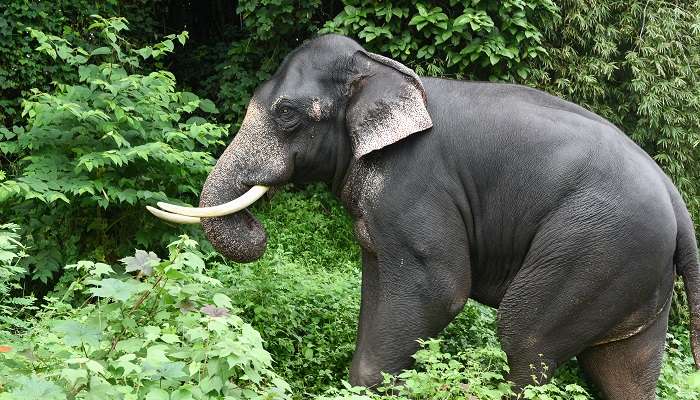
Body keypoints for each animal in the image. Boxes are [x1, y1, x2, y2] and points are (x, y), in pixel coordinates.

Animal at [145, 35, 696, 400]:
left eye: (286, 113)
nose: (258, 229)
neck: (384, 70)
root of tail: (678, 203)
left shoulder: (417, 185)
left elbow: (437, 289)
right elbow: (377, 286)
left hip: (596, 246)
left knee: (526, 339)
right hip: (630, 269)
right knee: (624, 368)